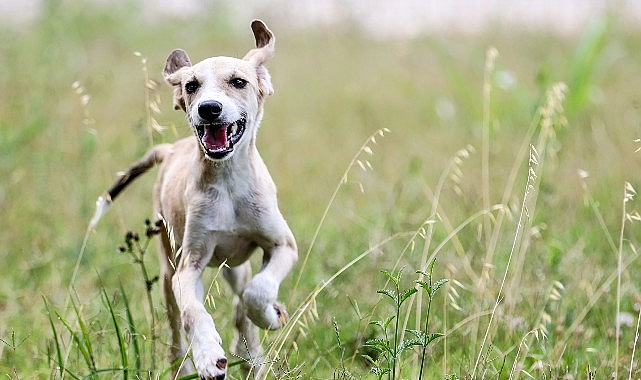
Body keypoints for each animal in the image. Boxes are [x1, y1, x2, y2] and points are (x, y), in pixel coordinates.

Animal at [90, 20, 298, 380]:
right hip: (167, 272)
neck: (228, 182)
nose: (209, 108)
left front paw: (269, 316)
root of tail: (171, 149)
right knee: (176, 328)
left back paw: (252, 356)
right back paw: (185, 365)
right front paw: (208, 356)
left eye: (238, 81)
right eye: (191, 85)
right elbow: (194, 312)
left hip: (235, 267)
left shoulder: (283, 244)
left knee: (242, 300)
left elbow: (257, 292)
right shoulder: (190, 266)